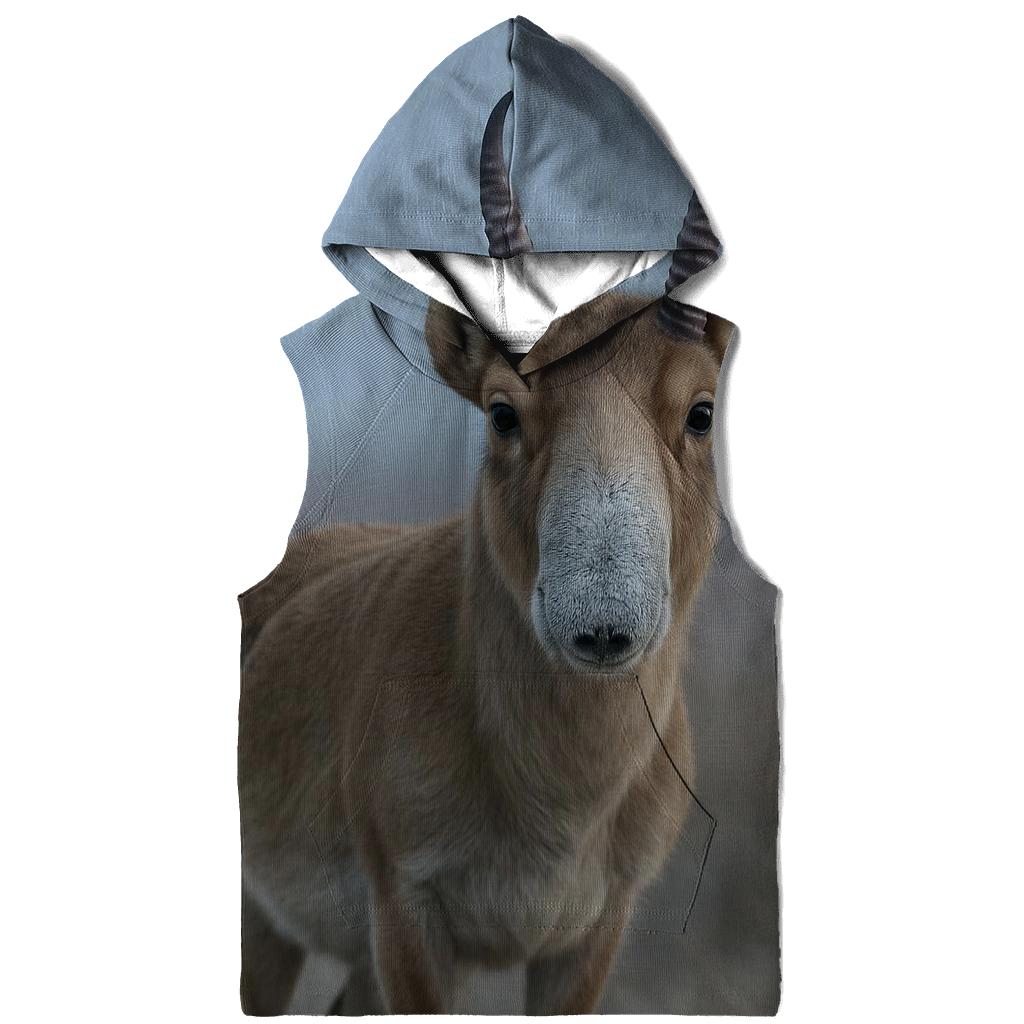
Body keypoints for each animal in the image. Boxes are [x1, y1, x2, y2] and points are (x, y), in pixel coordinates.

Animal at [238, 296, 731, 1014]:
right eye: (502, 412)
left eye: (702, 411)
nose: (602, 625)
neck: (555, 808)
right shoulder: (407, 908)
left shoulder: (596, 929)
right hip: (265, 921)